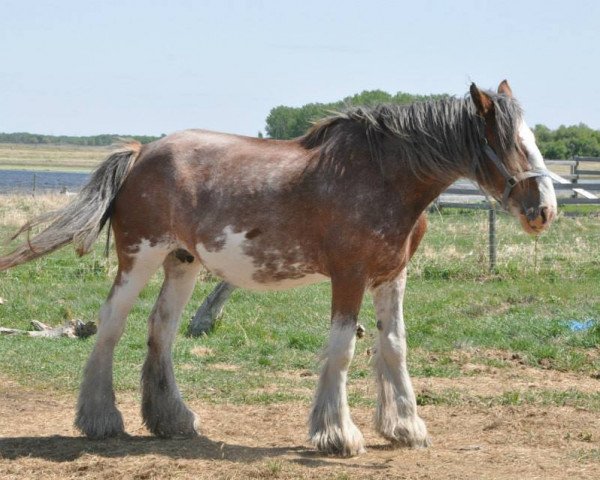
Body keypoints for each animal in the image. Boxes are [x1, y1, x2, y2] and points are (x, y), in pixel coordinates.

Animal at [0, 80, 556, 456]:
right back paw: (100, 419)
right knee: (111, 326)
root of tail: (140, 152)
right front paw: (337, 434)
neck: (383, 177)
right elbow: (342, 351)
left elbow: (394, 347)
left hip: (183, 262)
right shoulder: (350, 275)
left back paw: (171, 419)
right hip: (140, 256)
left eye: (532, 139)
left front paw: (404, 428)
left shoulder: (391, 275)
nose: (544, 210)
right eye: (509, 143)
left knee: (161, 331)